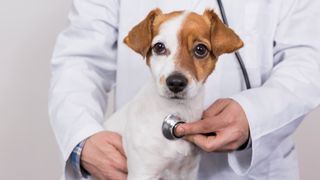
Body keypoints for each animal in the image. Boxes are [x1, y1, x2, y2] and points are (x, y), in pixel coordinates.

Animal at [104, 8, 242, 180]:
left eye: (201, 49)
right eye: (159, 47)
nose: (176, 82)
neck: (176, 111)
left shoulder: (188, 172)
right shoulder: (143, 172)